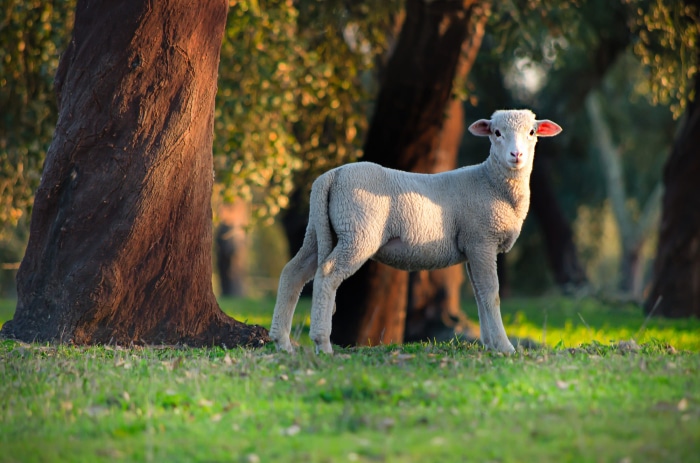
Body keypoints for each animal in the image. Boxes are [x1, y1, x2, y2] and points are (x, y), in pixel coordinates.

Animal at [270, 109, 562, 354]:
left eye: (532, 132)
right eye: (497, 133)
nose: (516, 156)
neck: (491, 182)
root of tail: (331, 176)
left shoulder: (473, 246)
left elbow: (480, 294)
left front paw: (489, 344)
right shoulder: (481, 239)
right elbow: (492, 294)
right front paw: (505, 347)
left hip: (319, 230)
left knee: (293, 272)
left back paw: (282, 341)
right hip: (357, 232)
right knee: (328, 273)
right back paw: (322, 342)